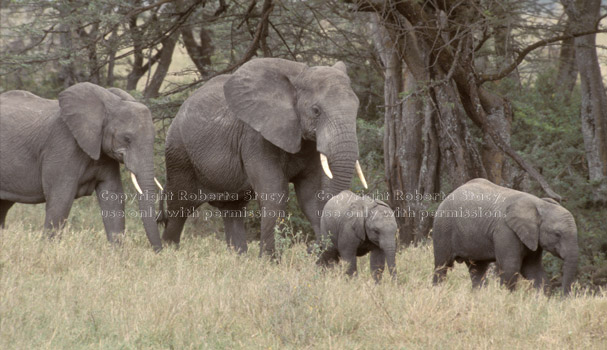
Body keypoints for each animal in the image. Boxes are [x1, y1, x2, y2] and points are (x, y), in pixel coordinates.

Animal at [0, 82, 164, 252]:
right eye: (127, 138)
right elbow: (61, 198)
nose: (158, 250)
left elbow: (113, 195)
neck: (110, 105)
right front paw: (47, 250)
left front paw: (117, 253)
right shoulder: (63, 145)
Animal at [162, 56, 368, 254]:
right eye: (316, 111)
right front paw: (270, 260)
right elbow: (274, 193)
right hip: (179, 153)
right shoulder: (254, 137)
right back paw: (168, 253)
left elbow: (311, 196)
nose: (310, 248)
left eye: (357, 108)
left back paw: (239, 258)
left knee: (233, 209)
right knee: (179, 207)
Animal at [432, 178, 580, 296]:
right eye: (557, 234)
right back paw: (437, 292)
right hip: (443, 227)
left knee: (477, 269)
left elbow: (533, 269)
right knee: (442, 265)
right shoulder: (505, 230)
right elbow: (511, 266)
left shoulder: (532, 237)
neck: (539, 204)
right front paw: (507, 299)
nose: (562, 298)